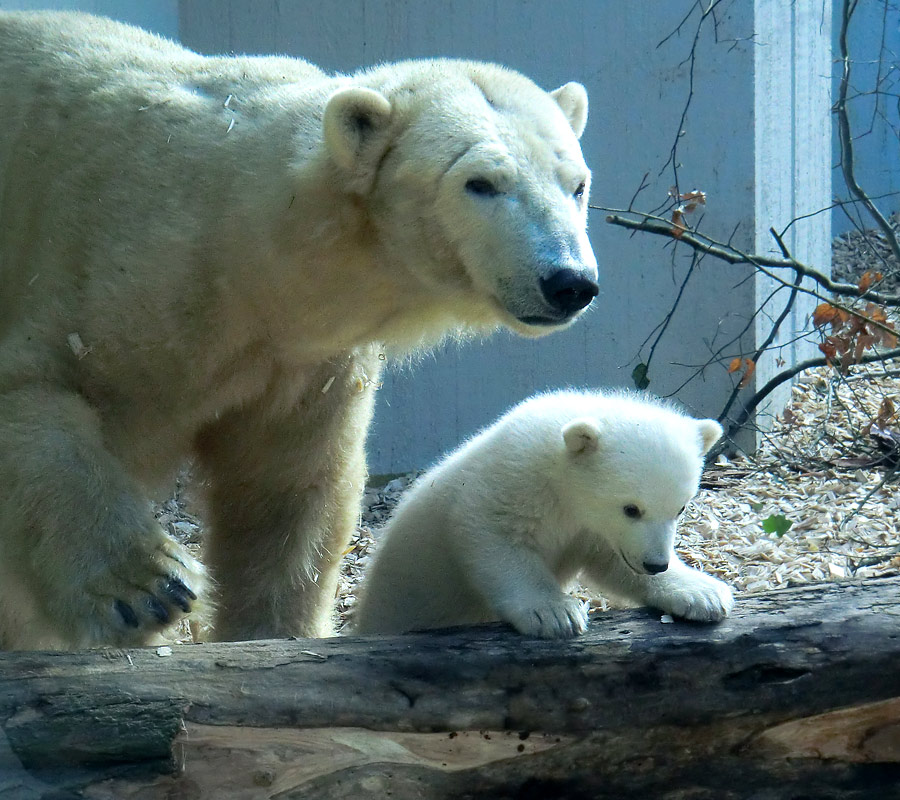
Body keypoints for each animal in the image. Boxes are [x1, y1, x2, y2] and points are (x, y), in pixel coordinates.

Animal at [0, 12, 596, 648]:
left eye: (576, 183)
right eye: (481, 182)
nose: (569, 280)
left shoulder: (301, 361)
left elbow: (285, 492)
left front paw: (272, 632)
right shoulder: (113, 266)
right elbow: (36, 387)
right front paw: (148, 589)